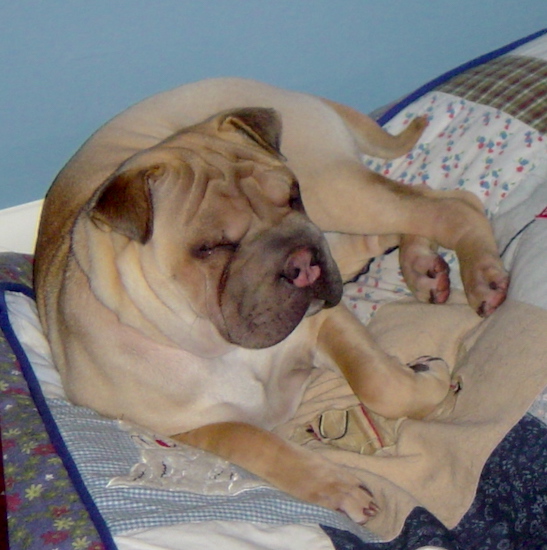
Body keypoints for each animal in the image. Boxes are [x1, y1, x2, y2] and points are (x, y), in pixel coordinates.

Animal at [34, 77, 510, 528]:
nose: (300, 260)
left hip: (337, 194)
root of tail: (279, 90)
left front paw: (429, 379)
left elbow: (378, 382)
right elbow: (257, 444)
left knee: (448, 206)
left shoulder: (325, 320)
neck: (223, 346)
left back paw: (481, 277)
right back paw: (424, 267)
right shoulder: (189, 426)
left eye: (292, 196)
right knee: (420, 212)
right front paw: (335, 486)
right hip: (342, 222)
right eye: (212, 247)